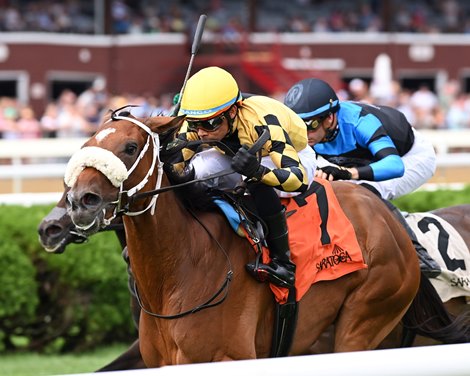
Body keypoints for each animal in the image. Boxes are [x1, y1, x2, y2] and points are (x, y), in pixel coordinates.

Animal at [63, 112, 470, 368]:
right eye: (85, 145)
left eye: (130, 148)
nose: (81, 201)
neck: (179, 270)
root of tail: (386, 216)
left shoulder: (229, 357)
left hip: (366, 317)